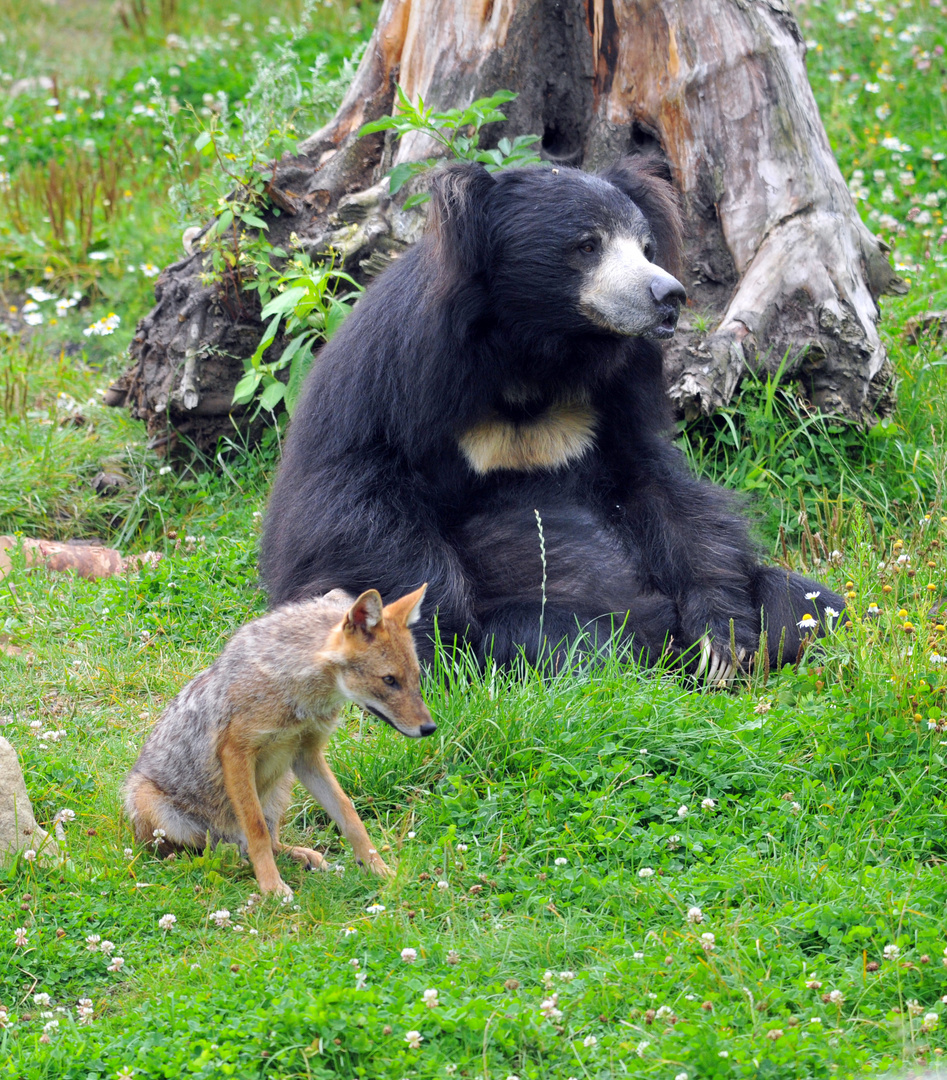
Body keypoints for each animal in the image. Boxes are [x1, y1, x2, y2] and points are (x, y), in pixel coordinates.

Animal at [260, 157, 842, 673]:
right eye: (587, 245)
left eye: (647, 248)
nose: (669, 295)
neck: (536, 353)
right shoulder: (394, 377)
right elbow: (354, 510)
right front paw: (435, 642)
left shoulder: (619, 395)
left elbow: (663, 491)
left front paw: (721, 643)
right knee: (560, 641)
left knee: (809, 602)